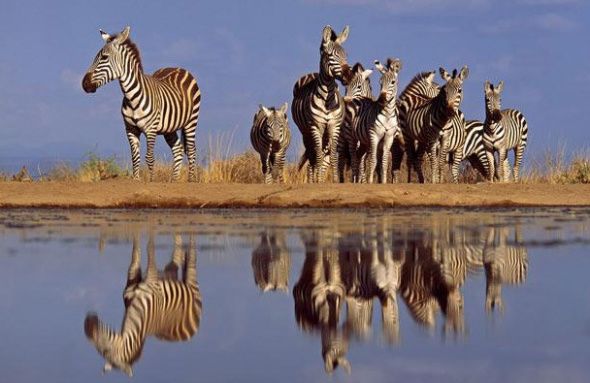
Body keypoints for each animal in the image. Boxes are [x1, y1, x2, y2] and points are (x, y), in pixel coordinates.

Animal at [81, 27, 202, 183]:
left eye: (104, 58)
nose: (84, 84)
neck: (131, 98)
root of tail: (179, 68)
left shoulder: (151, 129)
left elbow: (149, 158)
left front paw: (151, 180)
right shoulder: (130, 129)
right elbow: (135, 157)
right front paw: (136, 179)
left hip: (191, 121)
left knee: (191, 150)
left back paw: (191, 179)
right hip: (170, 128)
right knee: (178, 150)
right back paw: (174, 180)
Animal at [84, 234, 202, 378]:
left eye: (105, 351)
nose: (87, 325)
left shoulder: (152, 278)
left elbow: (149, 249)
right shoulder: (133, 275)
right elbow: (136, 254)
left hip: (191, 278)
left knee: (191, 256)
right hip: (170, 273)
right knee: (177, 256)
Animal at [292, 25, 352, 184]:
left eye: (346, 55)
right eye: (330, 55)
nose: (349, 76)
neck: (327, 98)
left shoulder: (334, 126)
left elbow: (333, 156)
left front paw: (335, 180)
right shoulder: (315, 126)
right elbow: (318, 156)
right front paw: (317, 180)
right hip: (306, 132)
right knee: (312, 155)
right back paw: (313, 179)